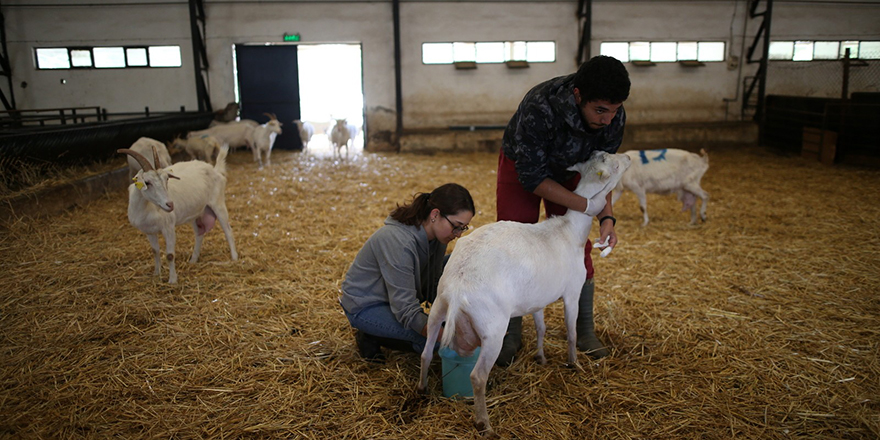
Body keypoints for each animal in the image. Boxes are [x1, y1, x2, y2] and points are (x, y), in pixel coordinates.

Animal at [120, 143, 239, 284]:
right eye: (147, 182)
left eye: (167, 179)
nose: (170, 205)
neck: (147, 207)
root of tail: (214, 169)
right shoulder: (149, 231)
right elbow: (155, 251)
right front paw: (156, 273)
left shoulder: (168, 227)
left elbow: (170, 255)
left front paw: (172, 280)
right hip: (198, 212)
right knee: (199, 234)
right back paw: (193, 259)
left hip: (218, 203)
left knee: (228, 230)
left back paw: (234, 257)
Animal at [420, 151, 632, 436]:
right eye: (616, 164)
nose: (629, 157)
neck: (569, 230)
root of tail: (457, 289)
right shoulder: (572, 291)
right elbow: (571, 331)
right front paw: (573, 363)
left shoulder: (537, 300)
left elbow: (541, 327)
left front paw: (541, 357)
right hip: (492, 329)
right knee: (477, 376)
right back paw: (484, 424)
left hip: (437, 311)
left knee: (426, 353)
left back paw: (421, 390)